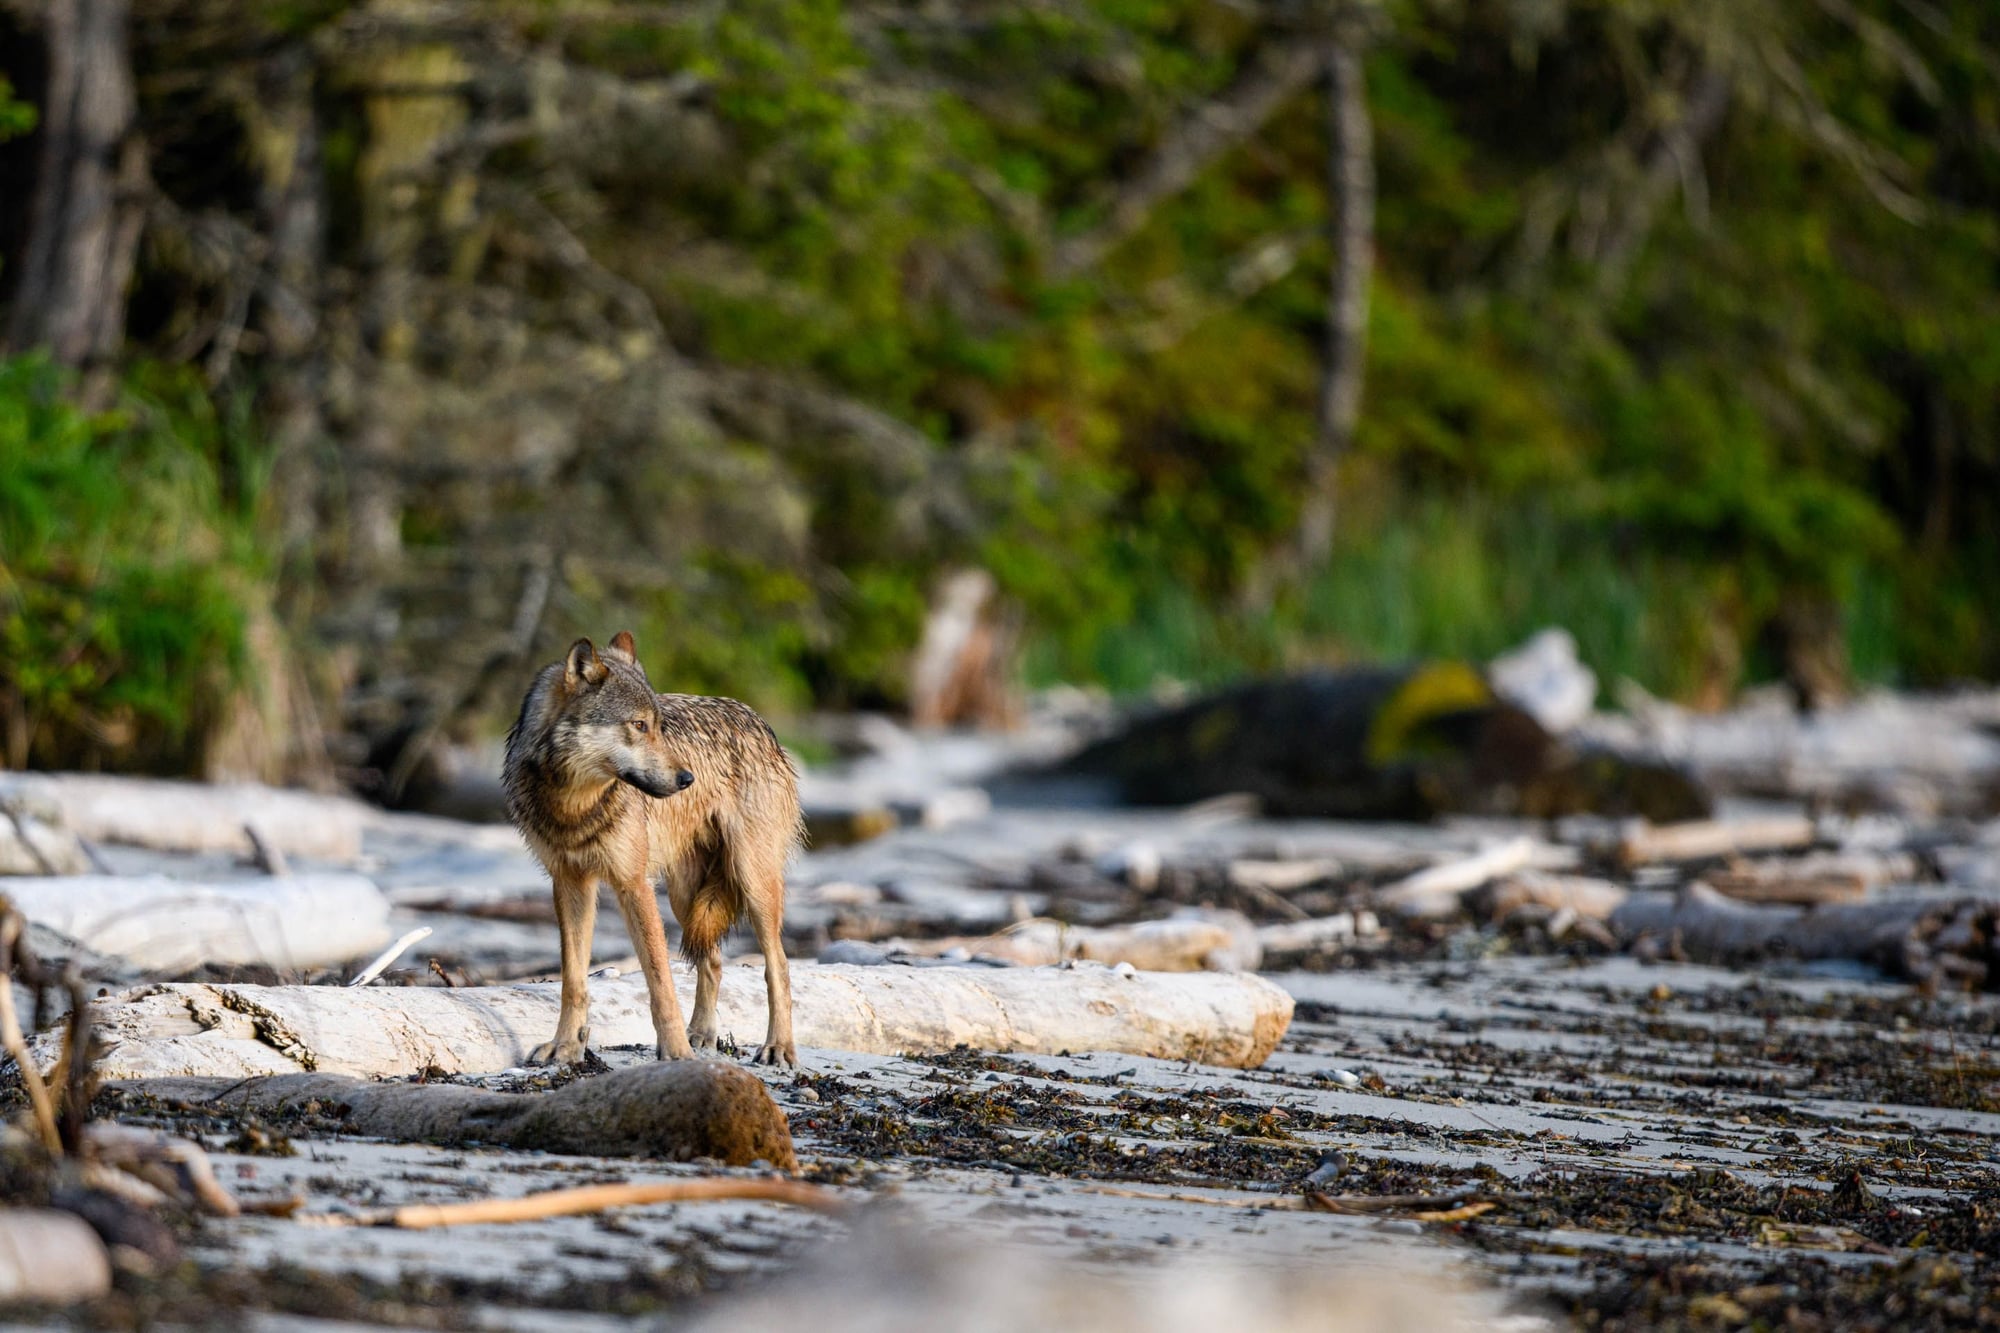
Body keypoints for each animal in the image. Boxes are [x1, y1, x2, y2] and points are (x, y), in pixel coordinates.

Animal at [503, 631, 801, 1068]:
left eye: (658, 727)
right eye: (638, 725)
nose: (687, 779)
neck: (575, 805)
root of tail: (758, 720)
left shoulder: (633, 883)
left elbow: (660, 981)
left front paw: (675, 1052)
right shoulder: (570, 882)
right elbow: (573, 980)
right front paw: (565, 1047)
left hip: (752, 880)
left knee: (777, 966)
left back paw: (778, 1046)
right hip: (685, 898)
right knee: (712, 959)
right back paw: (702, 1034)